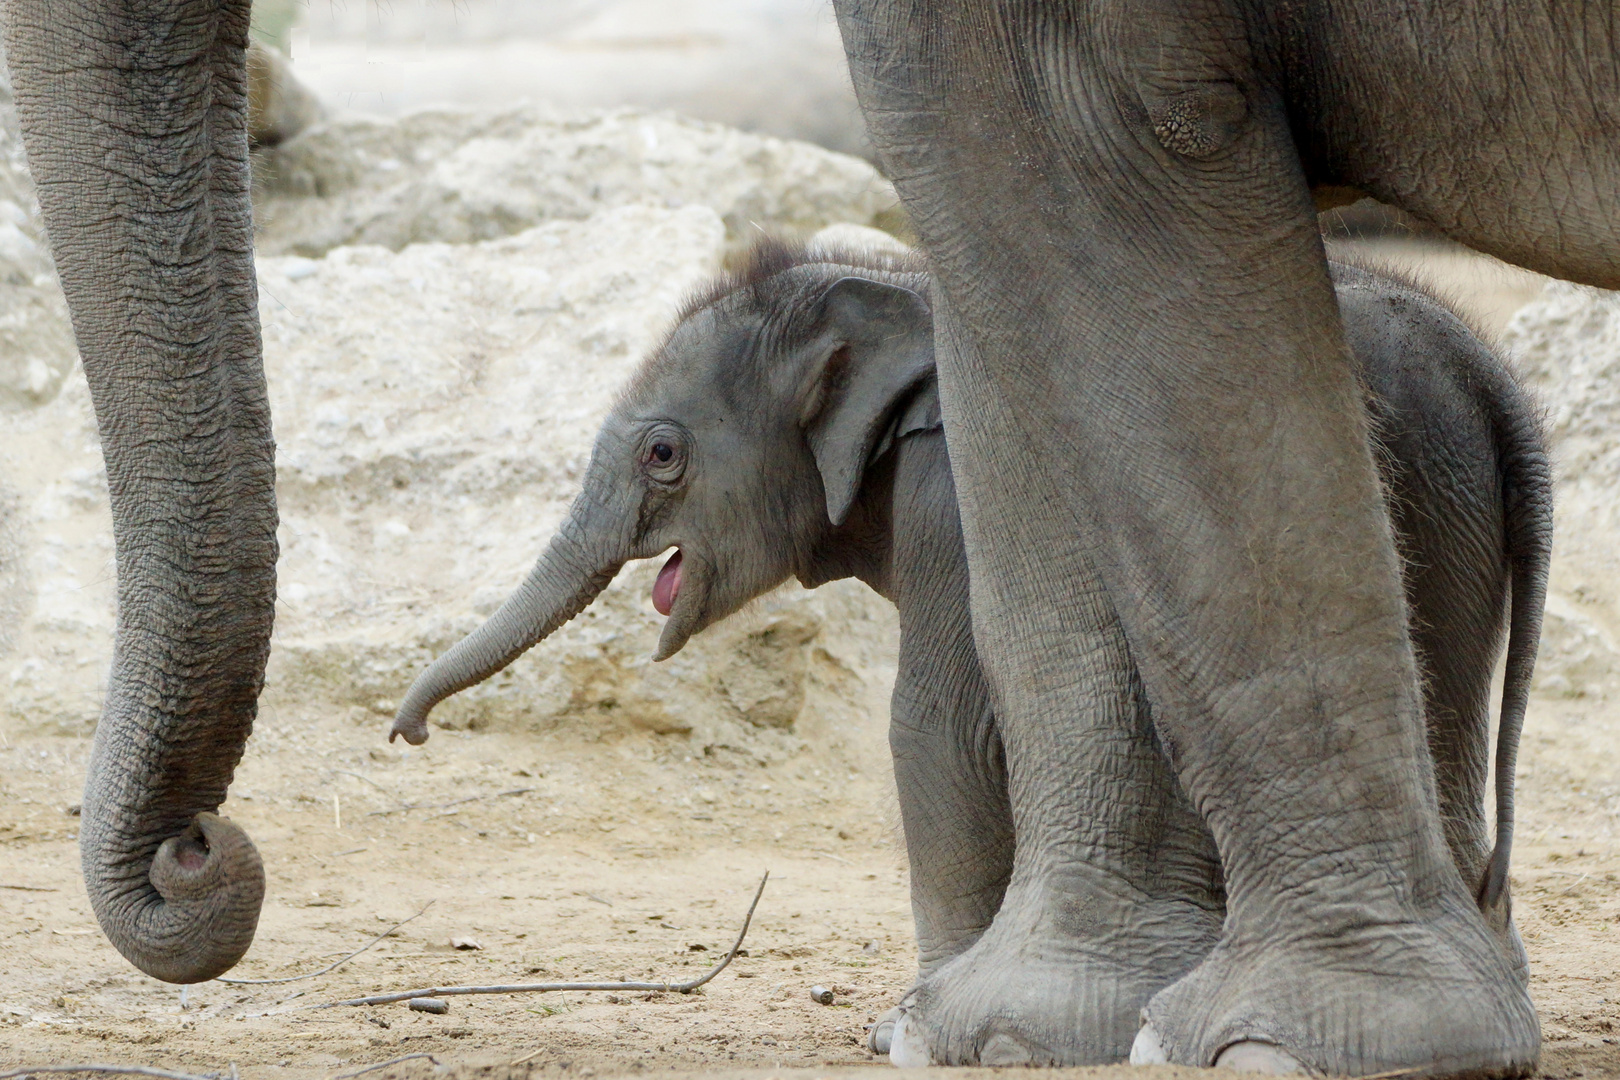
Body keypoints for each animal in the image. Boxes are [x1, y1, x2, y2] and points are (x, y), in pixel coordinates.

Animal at [388, 236, 1542, 1055]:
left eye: (663, 454)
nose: (409, 737)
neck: (888, 288)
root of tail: (1493, 373)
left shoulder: (951, 499)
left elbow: (936, 728)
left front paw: (908, 1029)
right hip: (1454, 515)